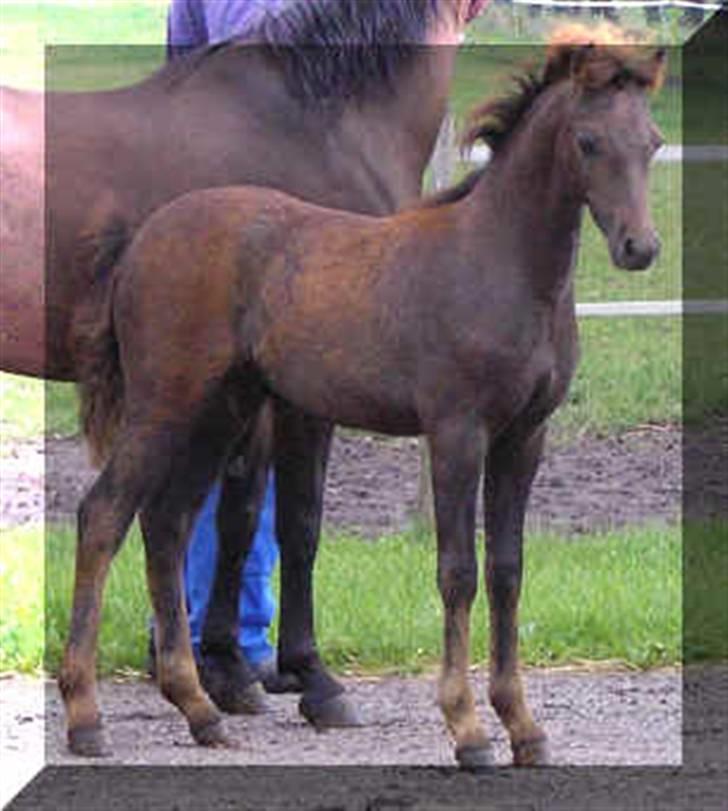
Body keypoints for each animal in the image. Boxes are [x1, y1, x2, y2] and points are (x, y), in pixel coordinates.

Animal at [64, 25, 665, 765]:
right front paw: (467, 729)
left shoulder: (525, 437)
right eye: (587, 141)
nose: (640, 247)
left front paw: (524, 726)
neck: (501, 264)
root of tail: (143, 239)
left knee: (167, 523)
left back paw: (201, 709)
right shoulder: (457, 431)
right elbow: (458, 571)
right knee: (103, 515)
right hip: (165, 402)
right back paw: (85, 716)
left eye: (653, 141)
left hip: (222, 409)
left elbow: (507, 570)